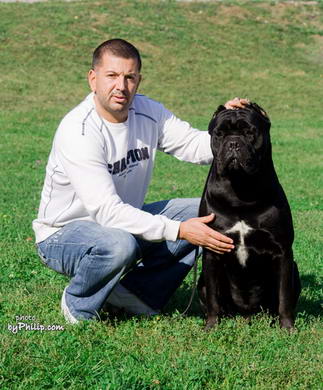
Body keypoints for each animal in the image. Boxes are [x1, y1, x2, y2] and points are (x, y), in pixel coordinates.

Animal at [199, 102, 302, 330]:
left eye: (250, 133)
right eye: (219, 134)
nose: (233, 143)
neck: (241, 189)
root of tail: (247, 314)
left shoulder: (283, 252)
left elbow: (284, 296)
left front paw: (287, 327)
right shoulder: (211, 250)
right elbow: (212, 298)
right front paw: (211, 326)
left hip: (295, 270)